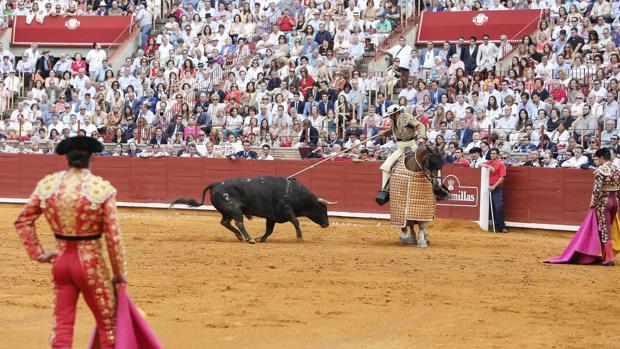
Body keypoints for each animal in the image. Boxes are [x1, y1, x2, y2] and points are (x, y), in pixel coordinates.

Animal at [170, 177, 336, 242]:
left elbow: (269, 230)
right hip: (234, 209)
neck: (293, 192)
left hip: (227, 211)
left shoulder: (272, 217)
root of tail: (215, 184)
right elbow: (296, 222)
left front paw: (261, 239)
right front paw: (300, 238)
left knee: (225, 222)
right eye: (323, 209)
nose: (327, 224)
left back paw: (240, 236)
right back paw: (249, 239)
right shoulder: (286, 210)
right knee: (239, 223)